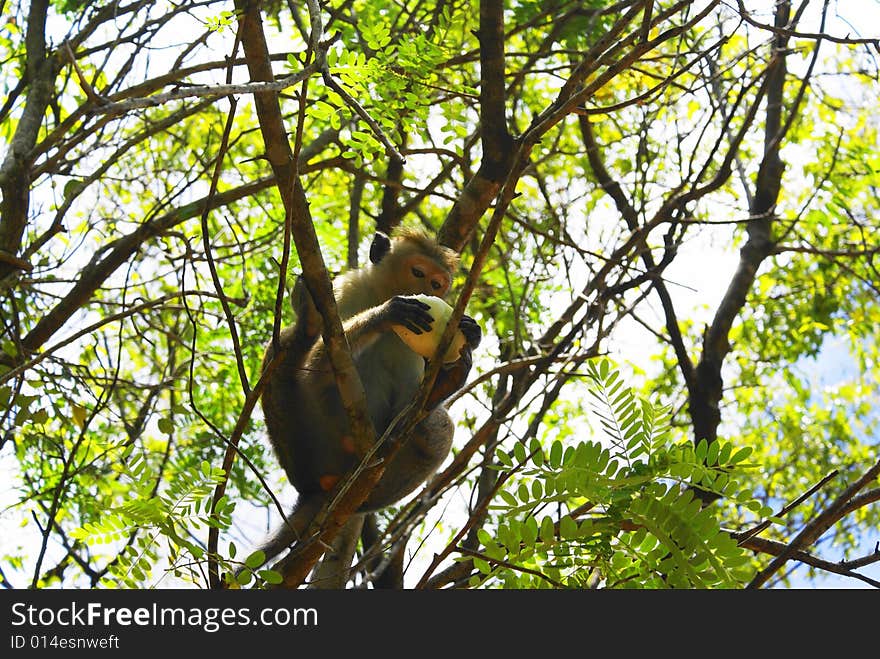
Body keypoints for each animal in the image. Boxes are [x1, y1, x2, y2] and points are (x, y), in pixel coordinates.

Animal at [251, 228, 478, 584]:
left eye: (437, 283)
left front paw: (455, 369)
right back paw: (307, 325)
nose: (428, 291)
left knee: (436, 429)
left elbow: (413, 407)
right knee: (286, 348)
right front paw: (385, 315)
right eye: (418, 273)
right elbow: (319, 363)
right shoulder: (346, 293)